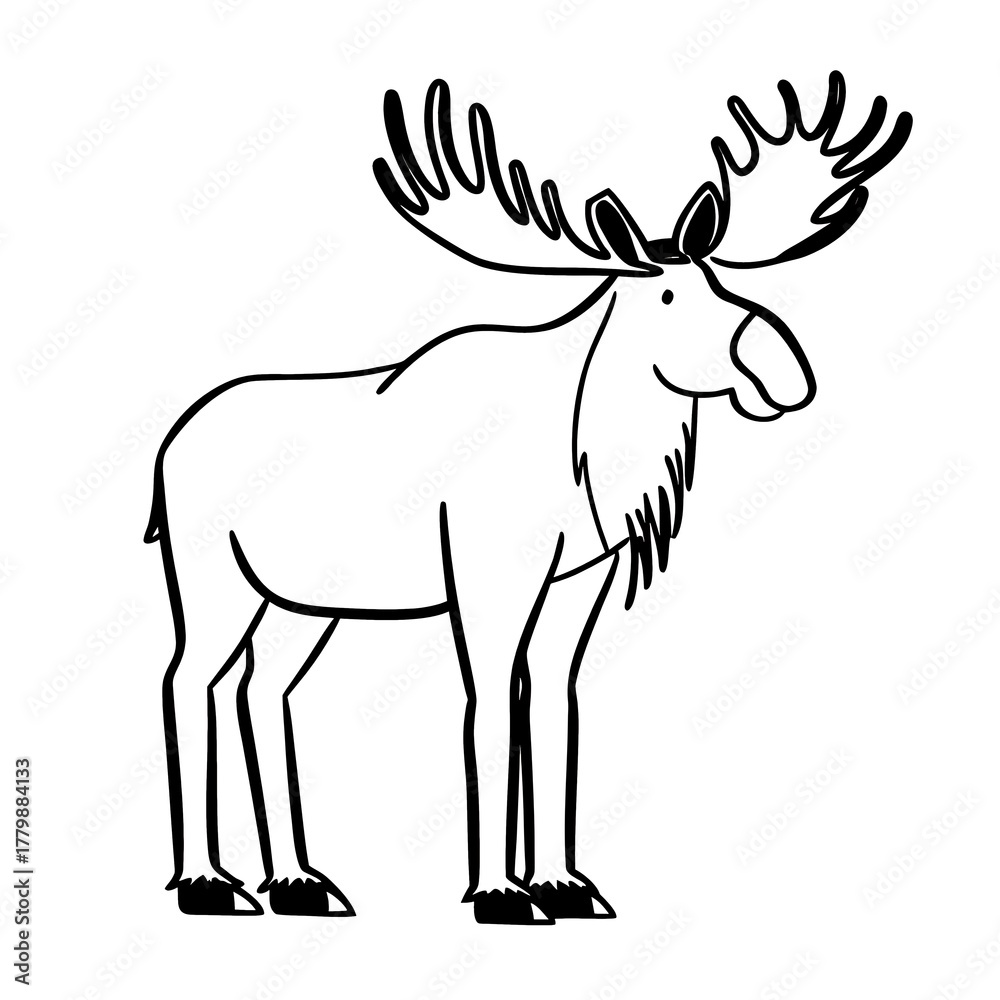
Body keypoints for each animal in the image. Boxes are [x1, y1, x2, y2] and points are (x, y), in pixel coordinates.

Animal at [146, 73, 911, 924]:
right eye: (667, 299)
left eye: (721, 282)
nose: (783, 367)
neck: (592, 461)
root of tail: (165, 451)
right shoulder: (487, 574)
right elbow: (486, 706)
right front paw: (497, 891)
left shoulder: (580, 577)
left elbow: (550, 705)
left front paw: (561, 882)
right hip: (212, 580)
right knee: (186, 680)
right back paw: (207, 881)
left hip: (302, 603)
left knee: (261, 690)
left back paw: (297, 881)